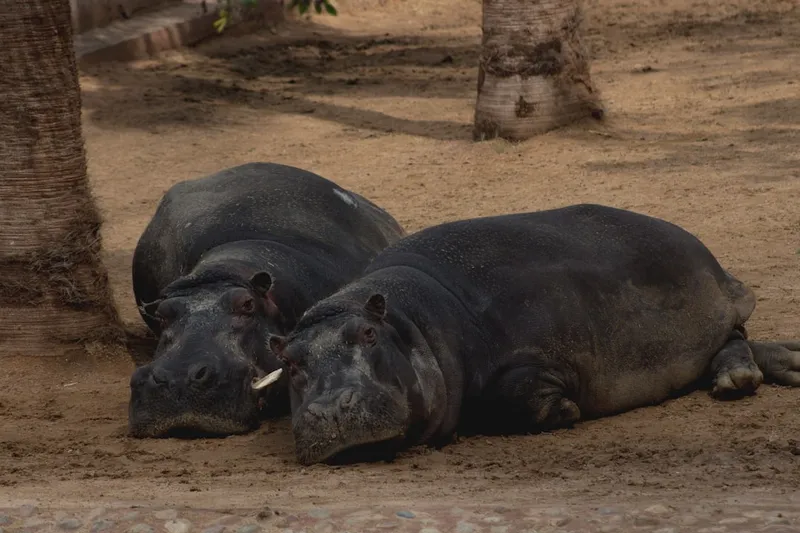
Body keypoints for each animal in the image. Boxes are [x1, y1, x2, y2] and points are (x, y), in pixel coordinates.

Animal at [270, 204, 800, 465]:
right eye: (288, 360)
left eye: (367, 334)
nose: (329, 408)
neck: (411, 322)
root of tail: (704, 252)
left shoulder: (534, 355)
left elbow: (520, 391)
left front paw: (566, 409)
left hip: (708, 312)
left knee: (733, 338)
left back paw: (737, 383)